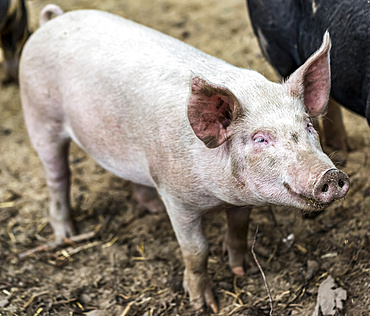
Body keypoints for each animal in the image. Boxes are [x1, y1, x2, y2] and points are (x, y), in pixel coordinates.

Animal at [19, 5, 350, 314]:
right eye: (260, 138)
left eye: (308, 125)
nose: (332, 175)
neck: (220, 195)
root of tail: (53, 20)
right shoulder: (176, 197)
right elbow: (196, 250)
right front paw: (204, 305)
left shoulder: (242, 199)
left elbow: (239, 229)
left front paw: (242, 269)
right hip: (40, 117)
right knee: (57, 176)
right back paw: (68, 234)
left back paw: (151, 208)